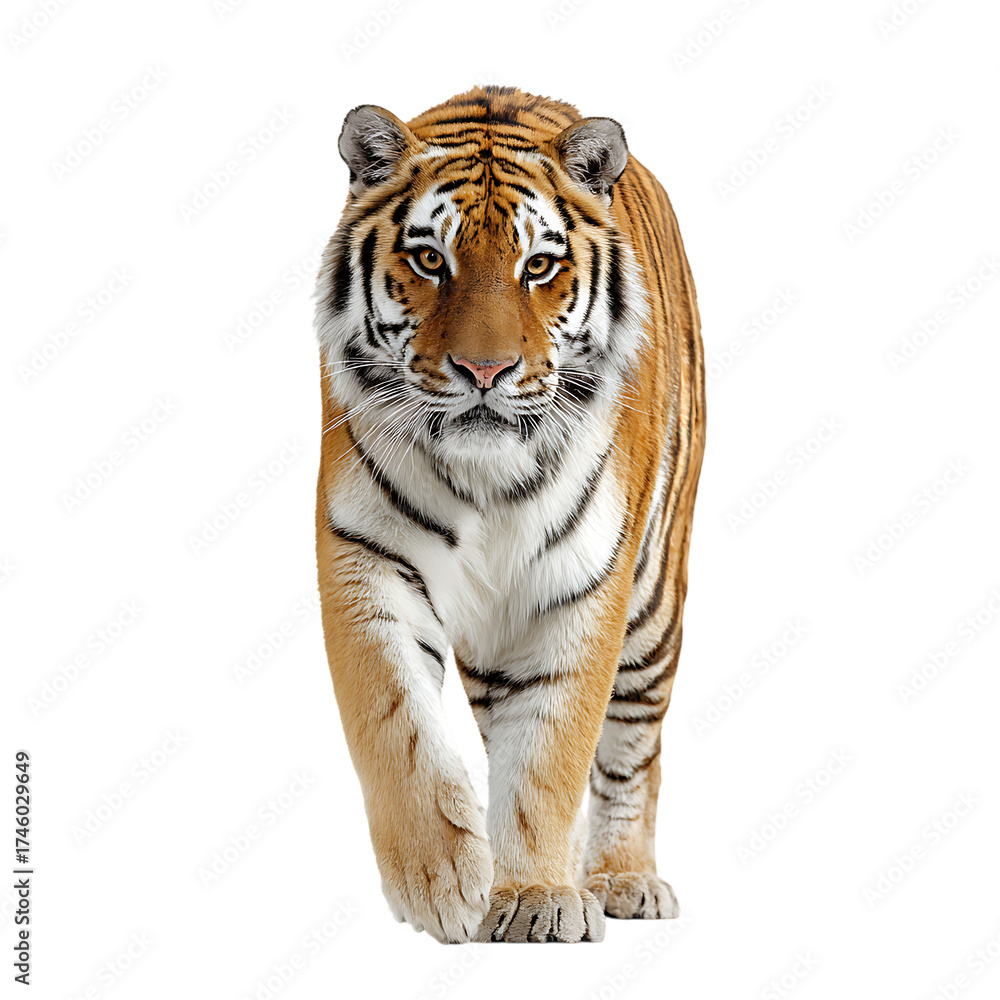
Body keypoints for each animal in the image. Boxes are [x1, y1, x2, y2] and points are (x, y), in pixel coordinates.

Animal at [314, 85, 704, 944]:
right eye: (431, 259)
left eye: (539, 266)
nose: (484, 370)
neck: (486, 478)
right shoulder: (366, 553)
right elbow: (394, 721)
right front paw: (441, 880)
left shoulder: (587, 582)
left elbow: (552, 753)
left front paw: (534, 897)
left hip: (654, 603)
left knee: (634, 750)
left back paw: (624, 879)